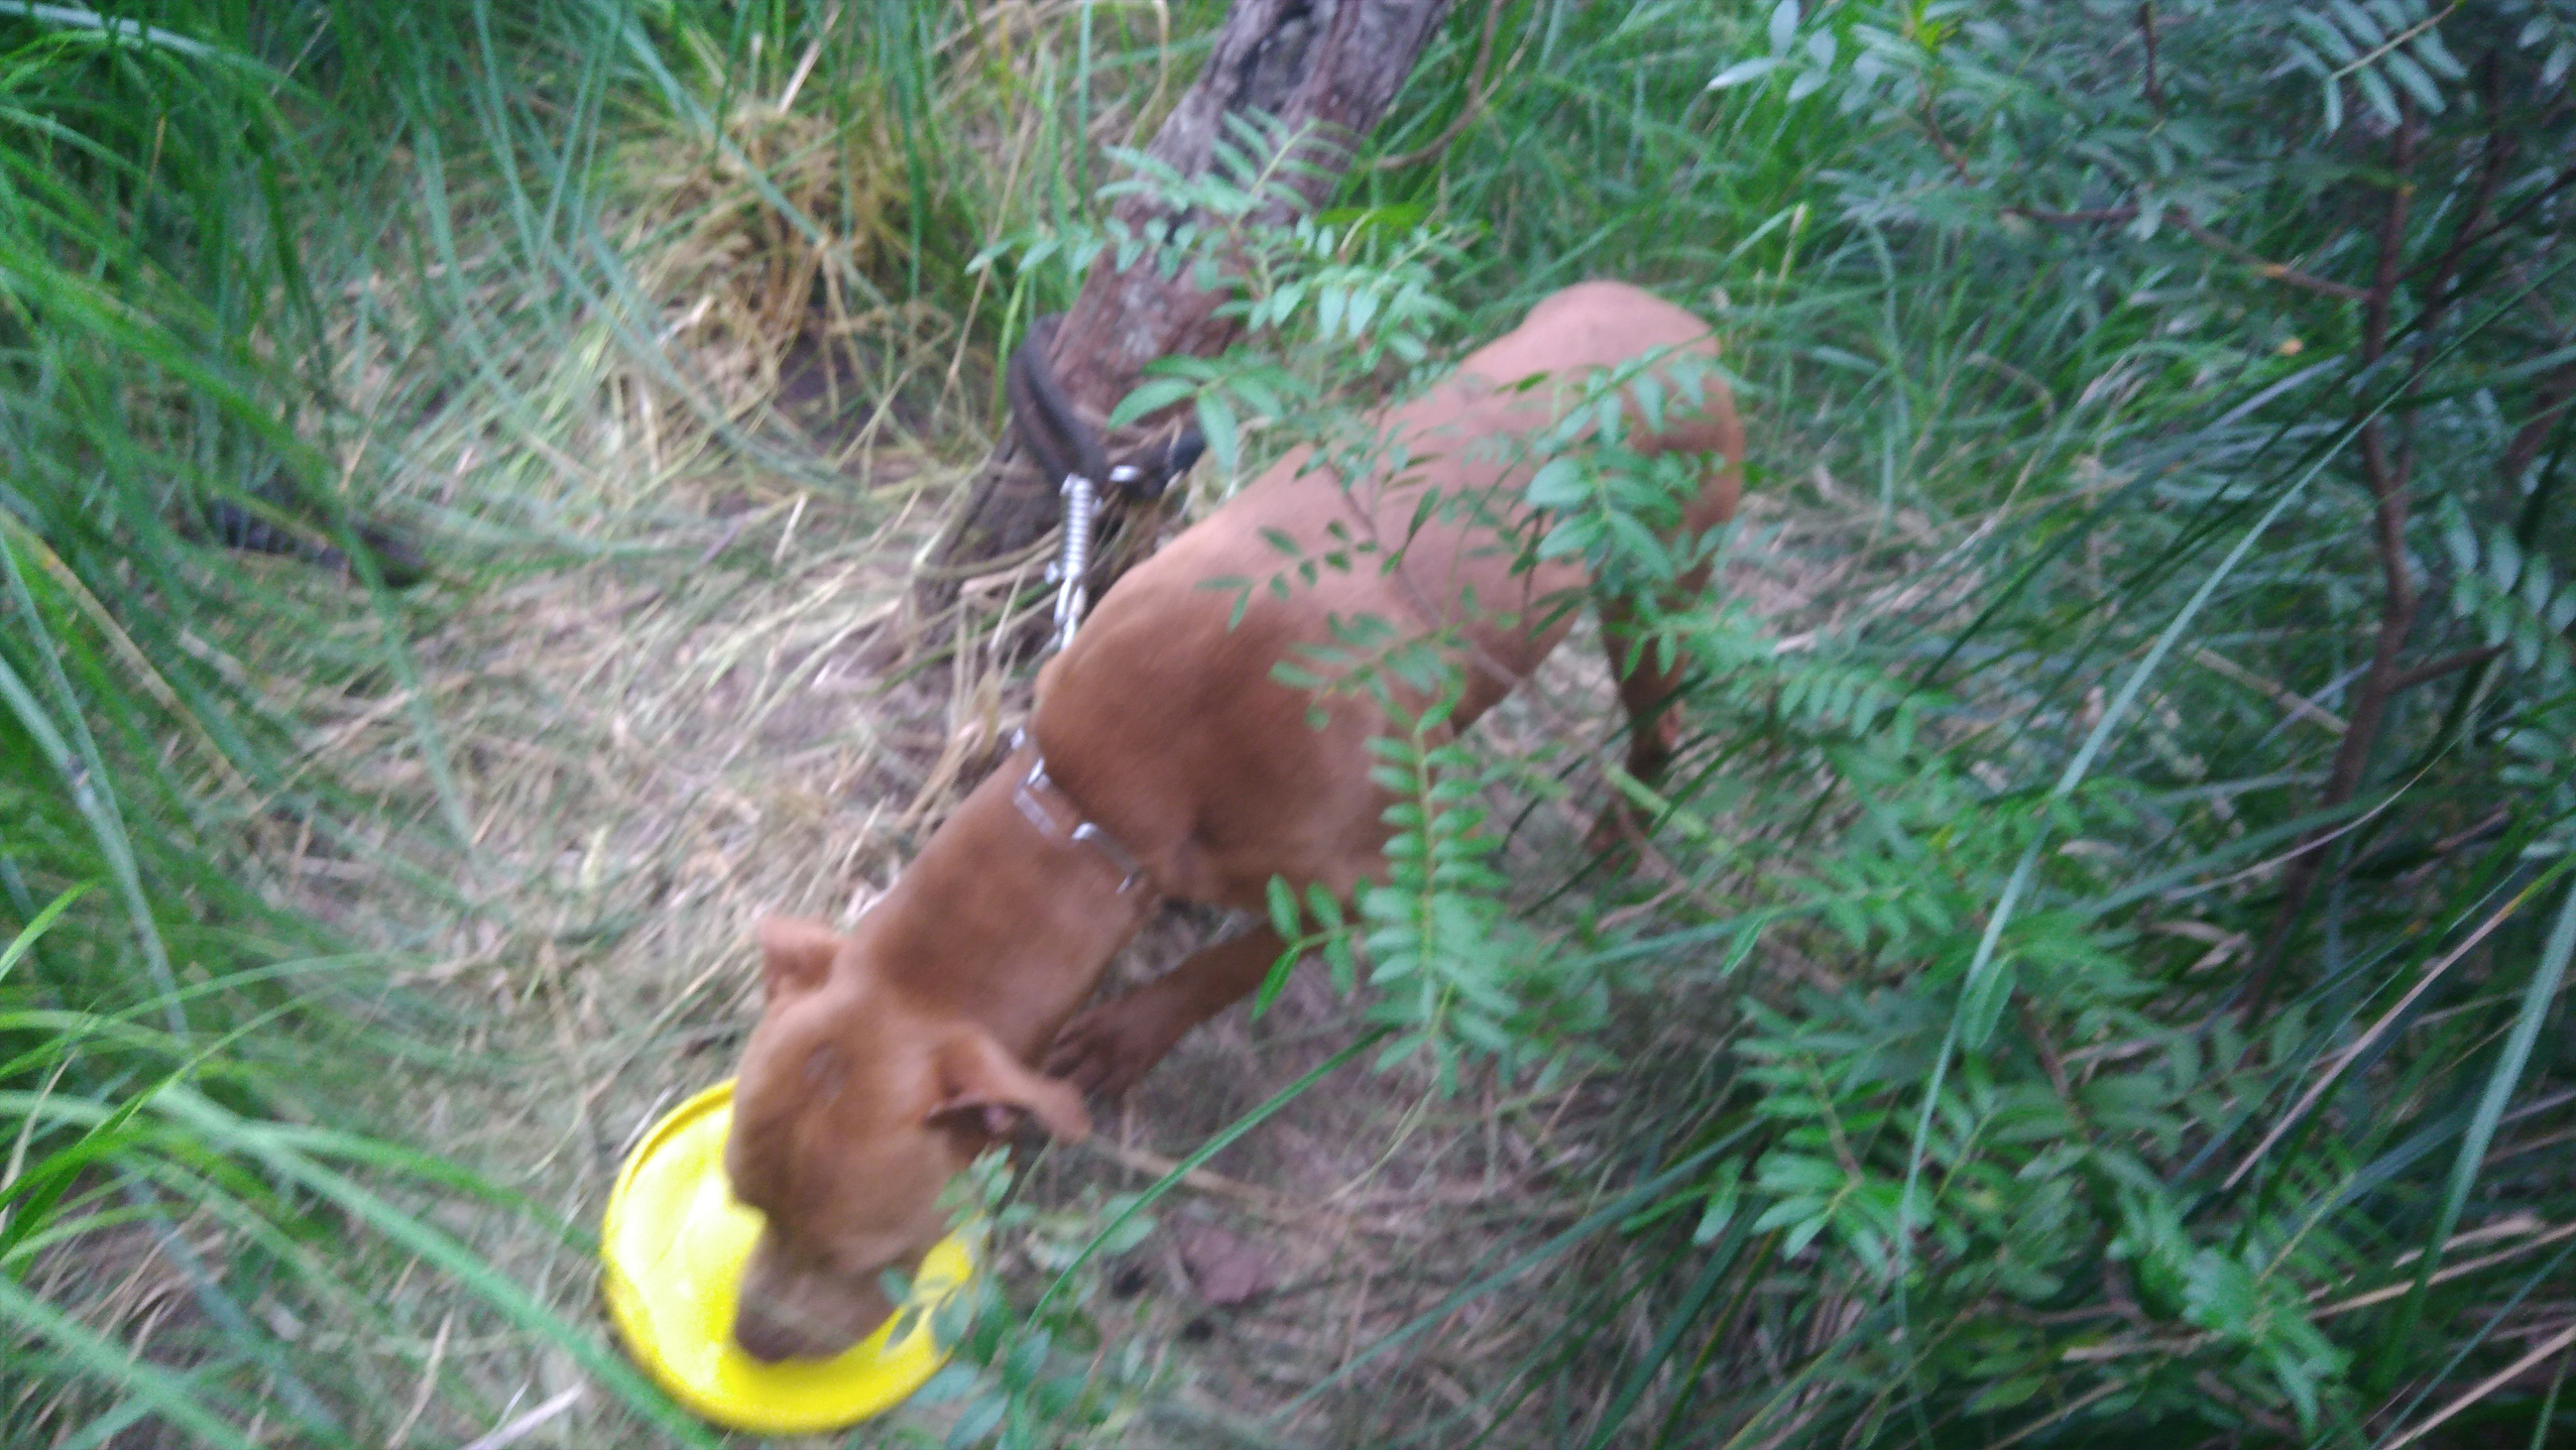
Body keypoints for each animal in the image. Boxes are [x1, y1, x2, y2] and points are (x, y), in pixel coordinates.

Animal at [716, 283, 1741, 1360]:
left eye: (863, 1250)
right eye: (747, 1204)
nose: (749, 1342)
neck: (1087, 799)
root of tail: (1674, 319)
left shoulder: (1377, 883)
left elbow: (1234, 962)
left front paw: (1128, 1033)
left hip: (1653, 593)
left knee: (1662, 719)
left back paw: (1623, 835)